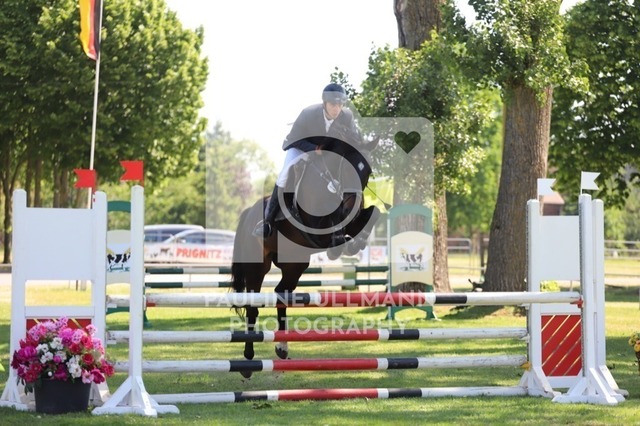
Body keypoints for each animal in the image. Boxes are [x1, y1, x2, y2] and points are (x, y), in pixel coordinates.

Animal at [230, 137, 380, 378]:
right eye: (347, 167)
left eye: (367, 170)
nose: (355, 201)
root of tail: (248, 212)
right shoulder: (314, 224)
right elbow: (334, 221)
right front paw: (340, 244)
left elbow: (374, 213)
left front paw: (357, 241)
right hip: (257, 267)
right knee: (252, 307)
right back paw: (248, 359)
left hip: (295, 264)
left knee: (281, 293)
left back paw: (282, 347)